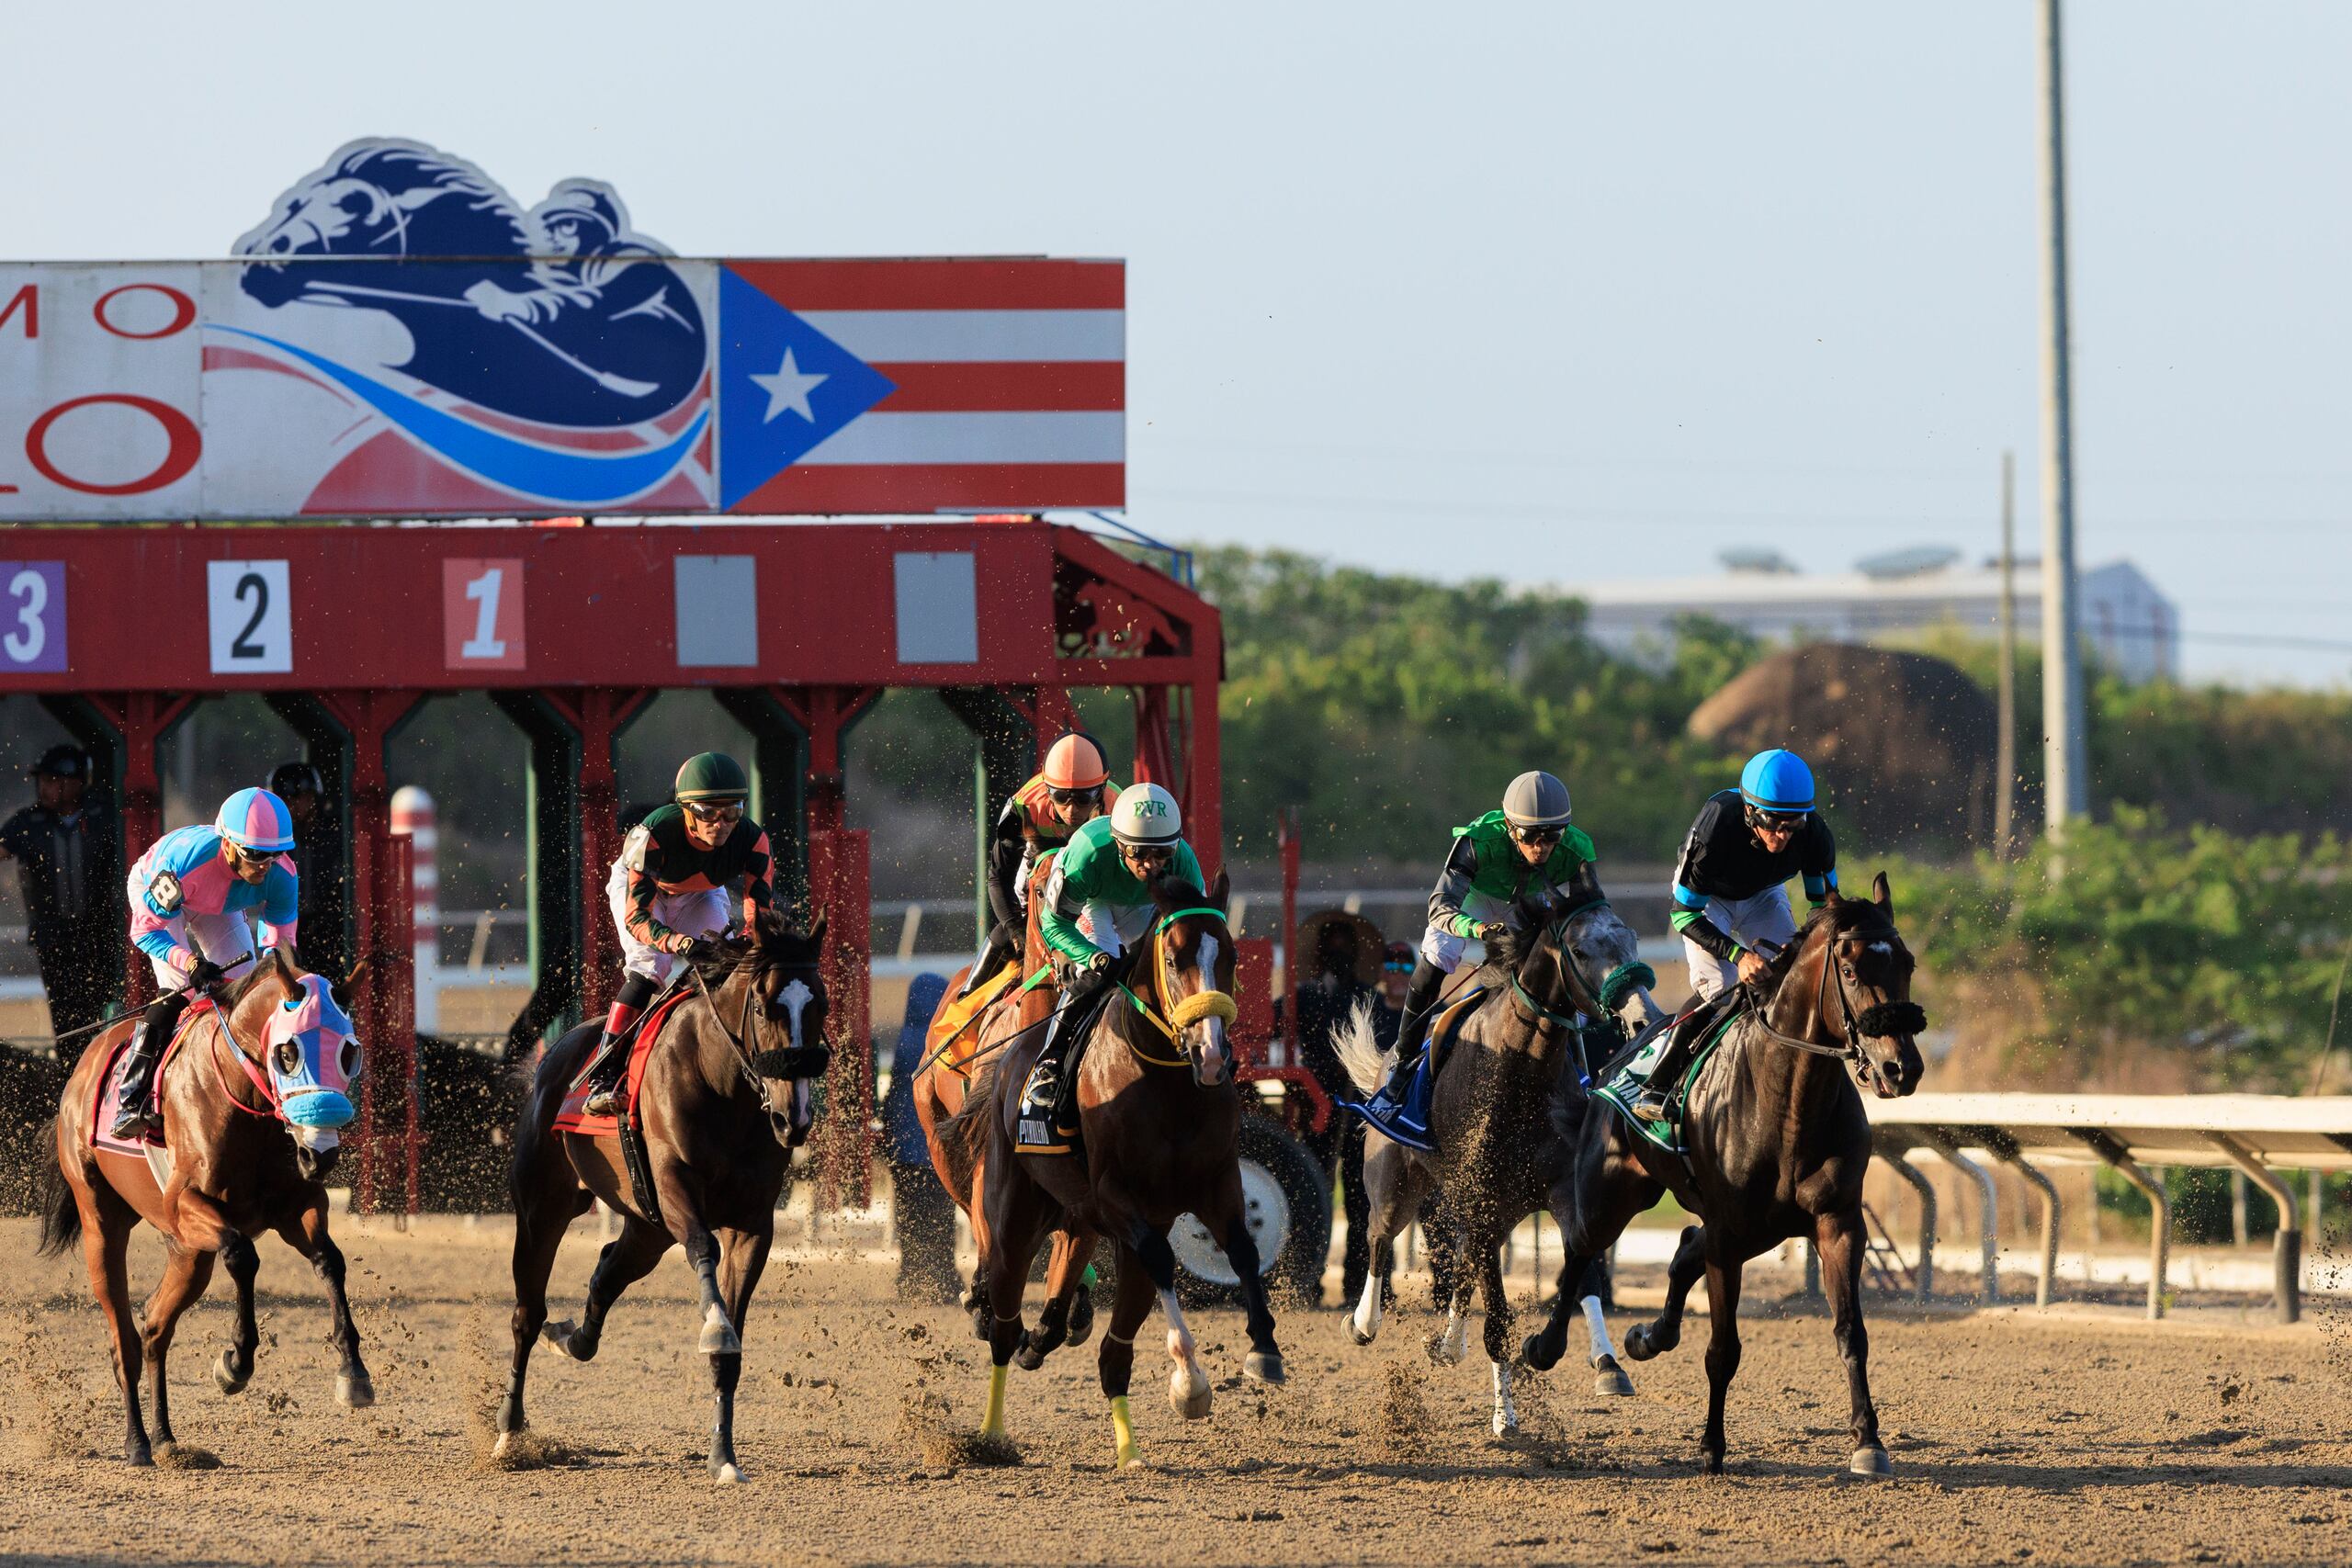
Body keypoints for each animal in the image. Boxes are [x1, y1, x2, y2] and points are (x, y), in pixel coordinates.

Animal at [33, 944, 367, 1476]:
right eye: (288, 1052)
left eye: (348, 1052)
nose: (321, 1154)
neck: (244, 1099)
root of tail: (79, 1076)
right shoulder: (188, 1204)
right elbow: (244, 1256)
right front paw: (235, 1362)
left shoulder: (297, 1205)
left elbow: (329, 1261)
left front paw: (353, 1373)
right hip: (102, 1223)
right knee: (124, 1340)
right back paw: (137, 1444)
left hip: (188, 1253)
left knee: (154, 1327)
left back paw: (167, 1439)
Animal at [501, 911, 832, 1476]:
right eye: (764, 1006)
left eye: (822, 1005)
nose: (795, 1118)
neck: (723, 1087)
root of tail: (556, 1056)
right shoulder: (675, 1188)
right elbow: (703, 1251)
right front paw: (714, 1327)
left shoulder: (752, 1224)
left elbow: (730, 1348)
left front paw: (723, 1455)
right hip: (543, 1208)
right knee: (528, 1313)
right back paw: (508, 1431)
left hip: (646, 1227)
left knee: (606, 1273)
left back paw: (571, 1339)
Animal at [1336, 893, 1665, 1438]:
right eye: (1580, 949)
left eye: (1631, 938)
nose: (1644, 1018)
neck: (1521, 1070)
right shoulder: (1484, 1200)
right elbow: (1497, 1319)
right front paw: (1505, 1415)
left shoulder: (1559, 1190)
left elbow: (1585, 1277)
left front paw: (1606, 1364)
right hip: (1398, 1183)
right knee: (1379, 1238)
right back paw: (1363, 1322)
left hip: (1495, 1208)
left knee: (1461, 1257)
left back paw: (1448, 1345)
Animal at [1523, 879, 1928, 1476]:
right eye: (1851, 971)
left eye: (1907, 963)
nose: (1902, 1069)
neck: (1788, 1102)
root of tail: (1618, 1053)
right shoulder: (1731, 1233)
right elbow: (1723, 1348)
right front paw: (1712, 1445)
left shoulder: (1836, 1223)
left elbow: (1851, 1333)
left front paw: (1868, 1441)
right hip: (1615, 1193)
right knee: (1581, 1247)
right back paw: (1549, 1346)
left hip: (1758, 1229)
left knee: (1686, 1246)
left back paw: (1649, 1336)